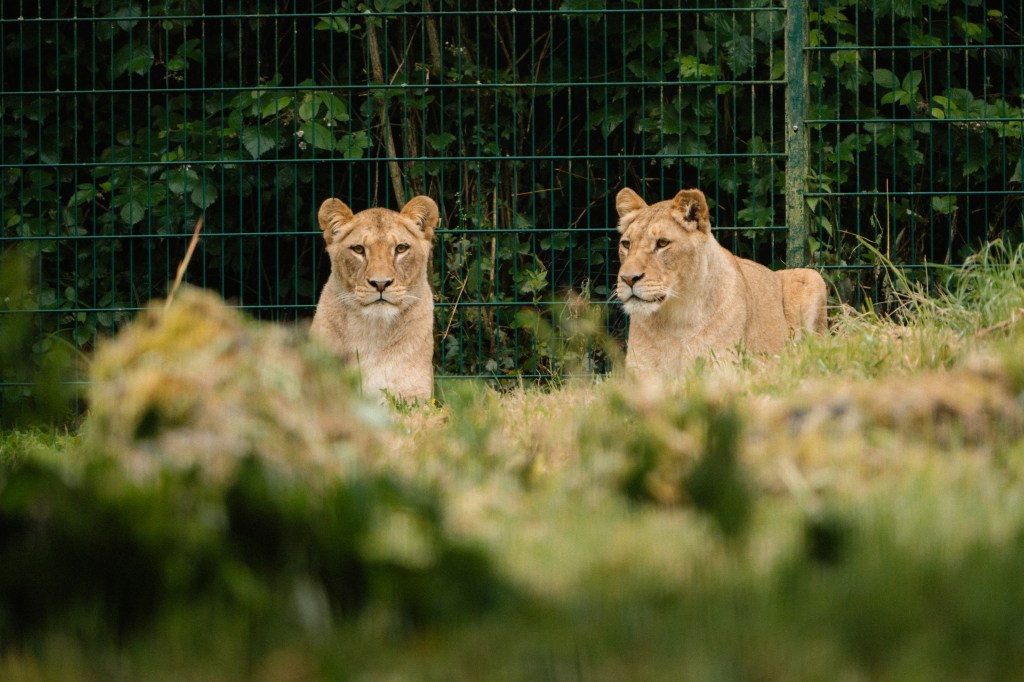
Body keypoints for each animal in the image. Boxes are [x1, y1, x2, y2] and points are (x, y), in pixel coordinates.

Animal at [614, 187, 827, 373]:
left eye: (662, 243)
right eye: (626, 244)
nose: (628, 278)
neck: (675, 318)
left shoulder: (723, 370)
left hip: (811, 277)